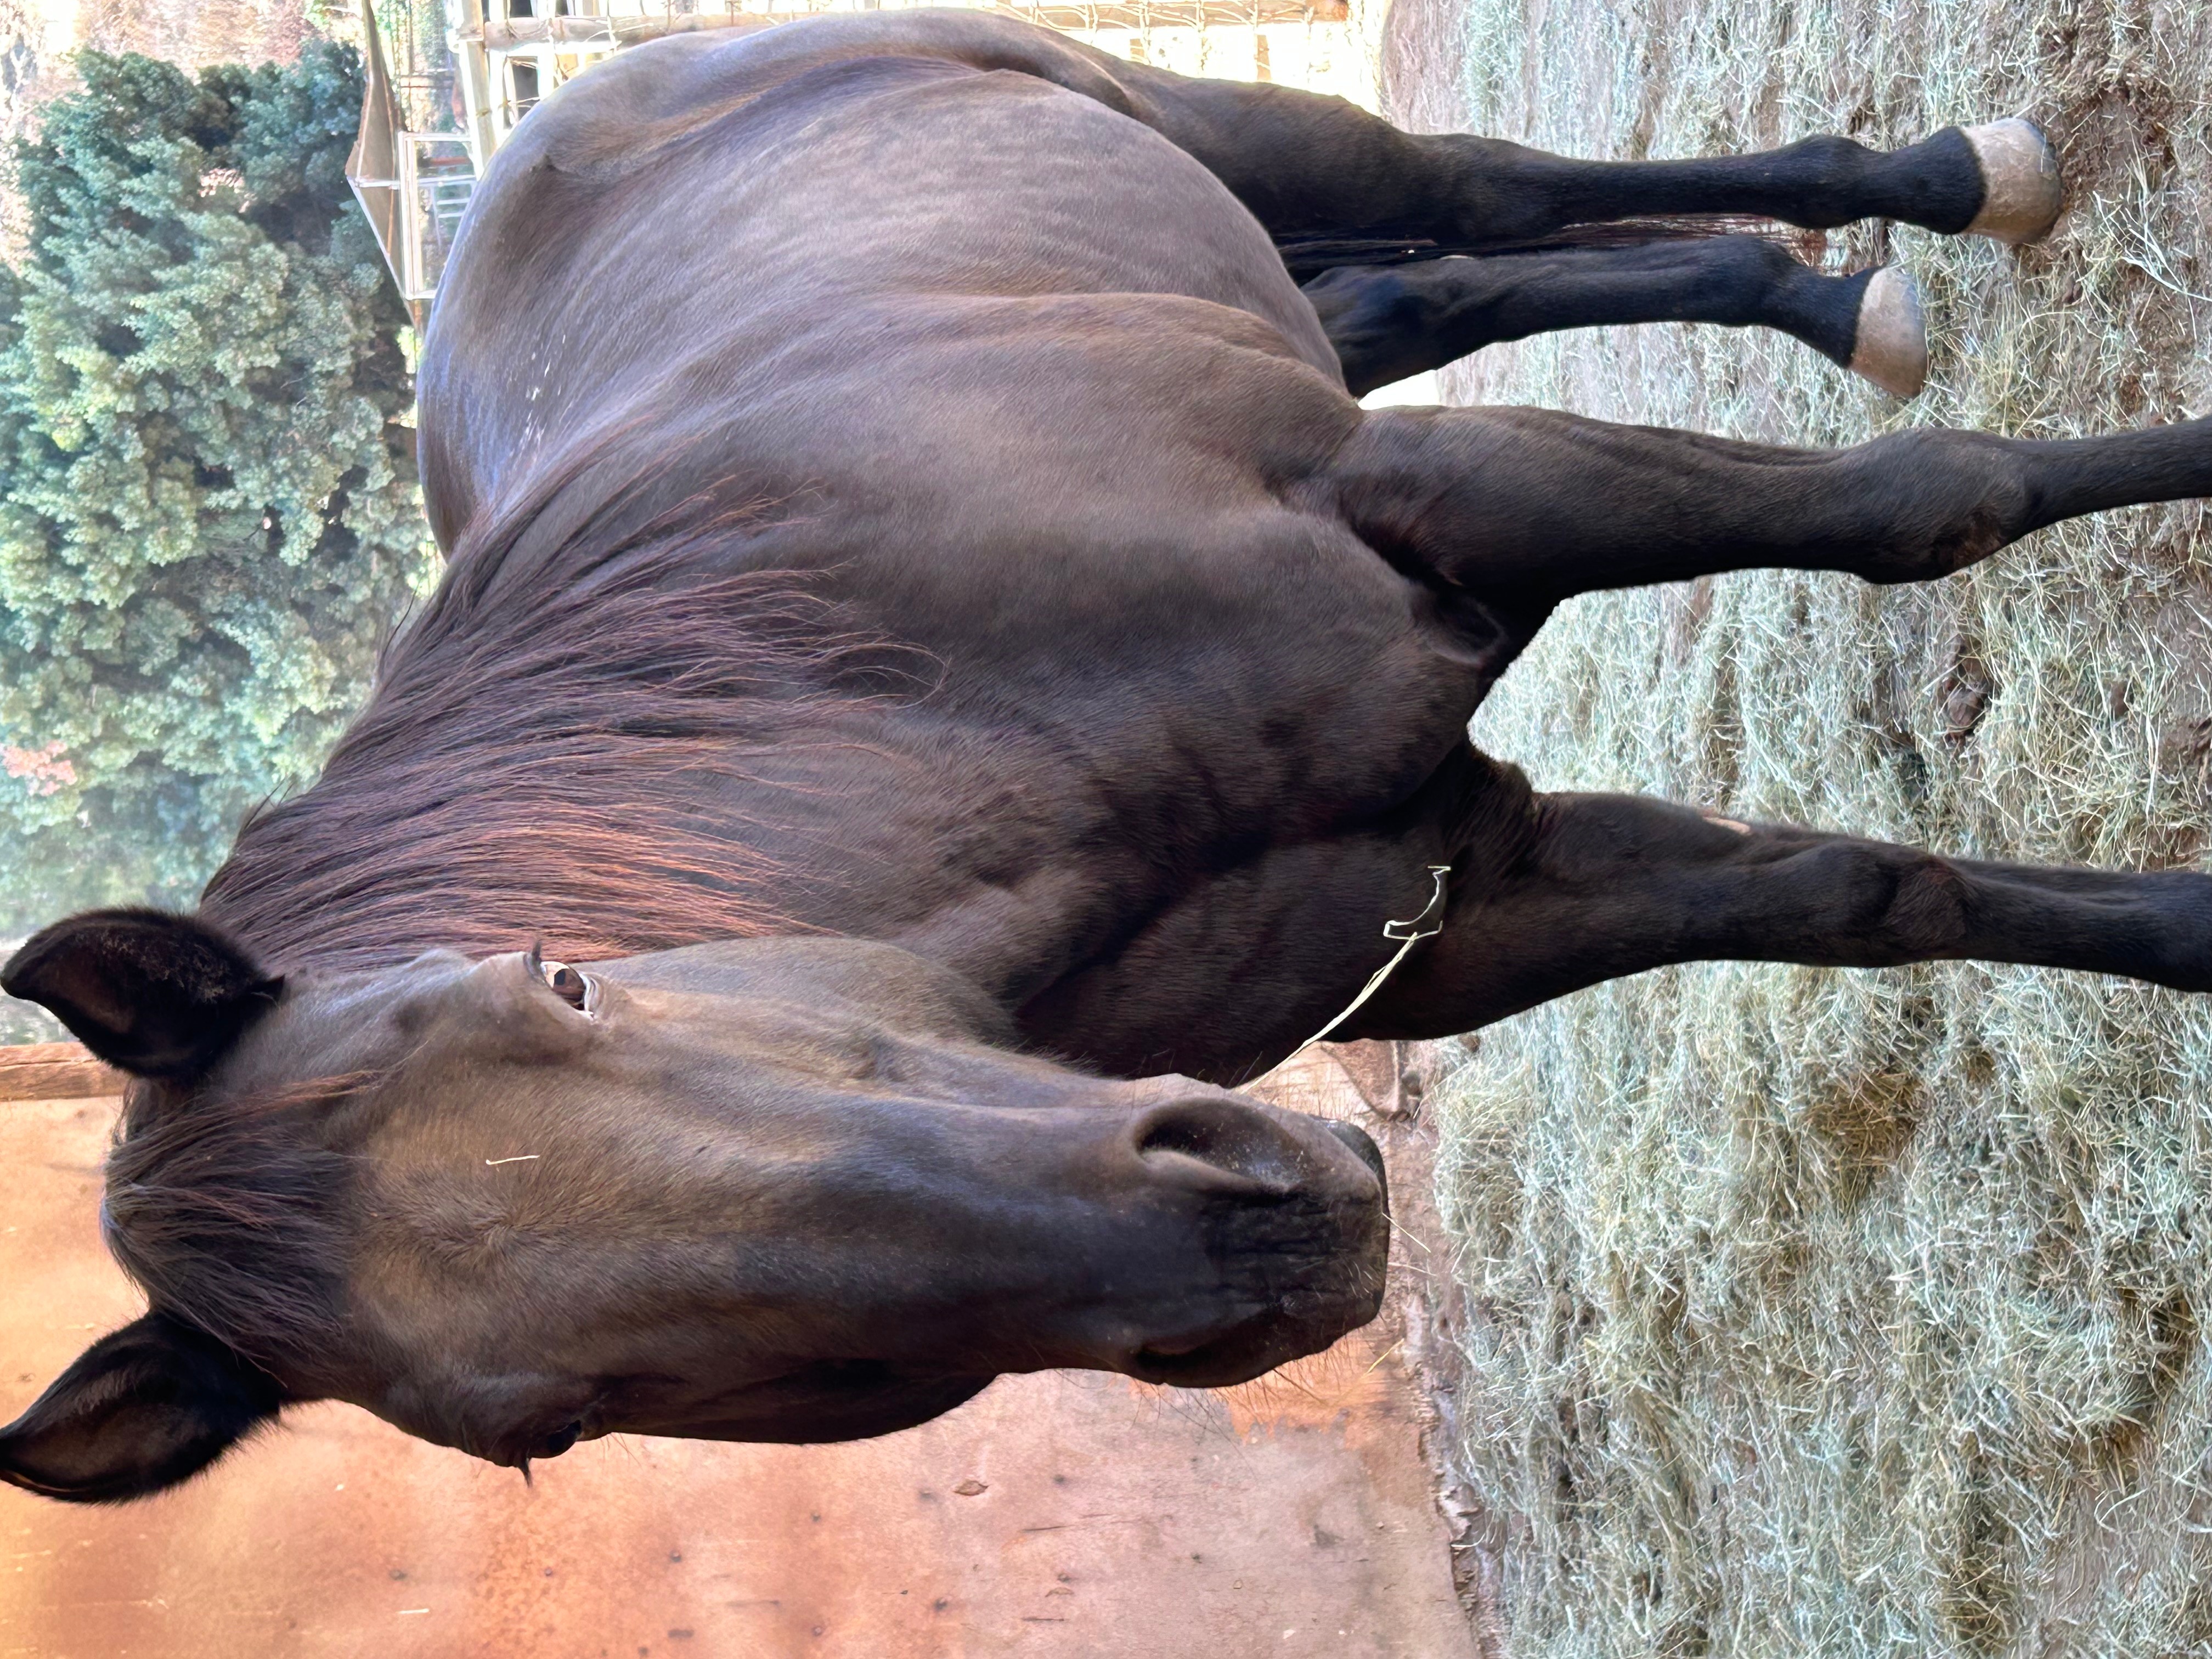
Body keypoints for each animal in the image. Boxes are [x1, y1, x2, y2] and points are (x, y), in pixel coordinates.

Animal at [8, 9, 2211, 1503]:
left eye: (556, 988)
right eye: (548, 1421)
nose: (1263, 1222)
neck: (909, 676)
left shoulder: (1434, 497)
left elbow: (1932, 506)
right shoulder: (1471, 895)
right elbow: (1875, 896)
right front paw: (2189, 933)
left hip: (1223, 124)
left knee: (1485, 192)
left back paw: (1930, 207)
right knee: (1444, 275)